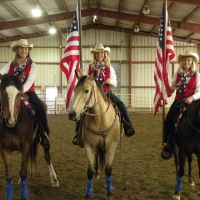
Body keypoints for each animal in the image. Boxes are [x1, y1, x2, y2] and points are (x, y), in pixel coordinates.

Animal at [69, 71, 122, 199]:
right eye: (75, 90)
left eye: (86, 90)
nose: (72, 114)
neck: (100, 120)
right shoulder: (88, 146)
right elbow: (90, 171)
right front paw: (88, 193)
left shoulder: (112, 146)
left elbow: (108, 169)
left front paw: (109, 192)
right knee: (97, 156)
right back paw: (97, 173)